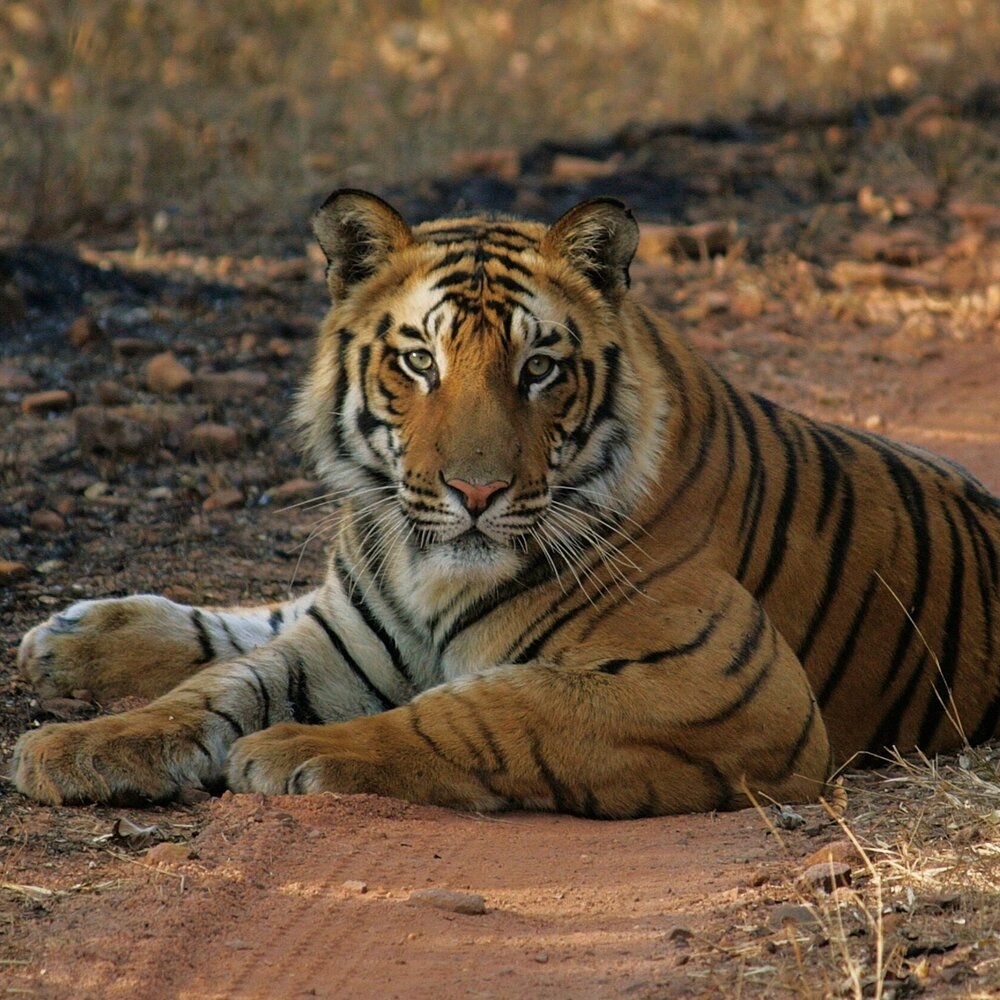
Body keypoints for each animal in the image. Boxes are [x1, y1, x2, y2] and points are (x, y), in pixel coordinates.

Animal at [10, 190, 1000, 818]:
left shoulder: (735, 690)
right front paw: (77, 747)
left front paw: (296, 753)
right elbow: (223, 684)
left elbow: (487, 709)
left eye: (540, 369)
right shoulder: (346, 638)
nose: (476, 492)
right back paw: (66, 639)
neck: (422, 571)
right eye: (420, 361)